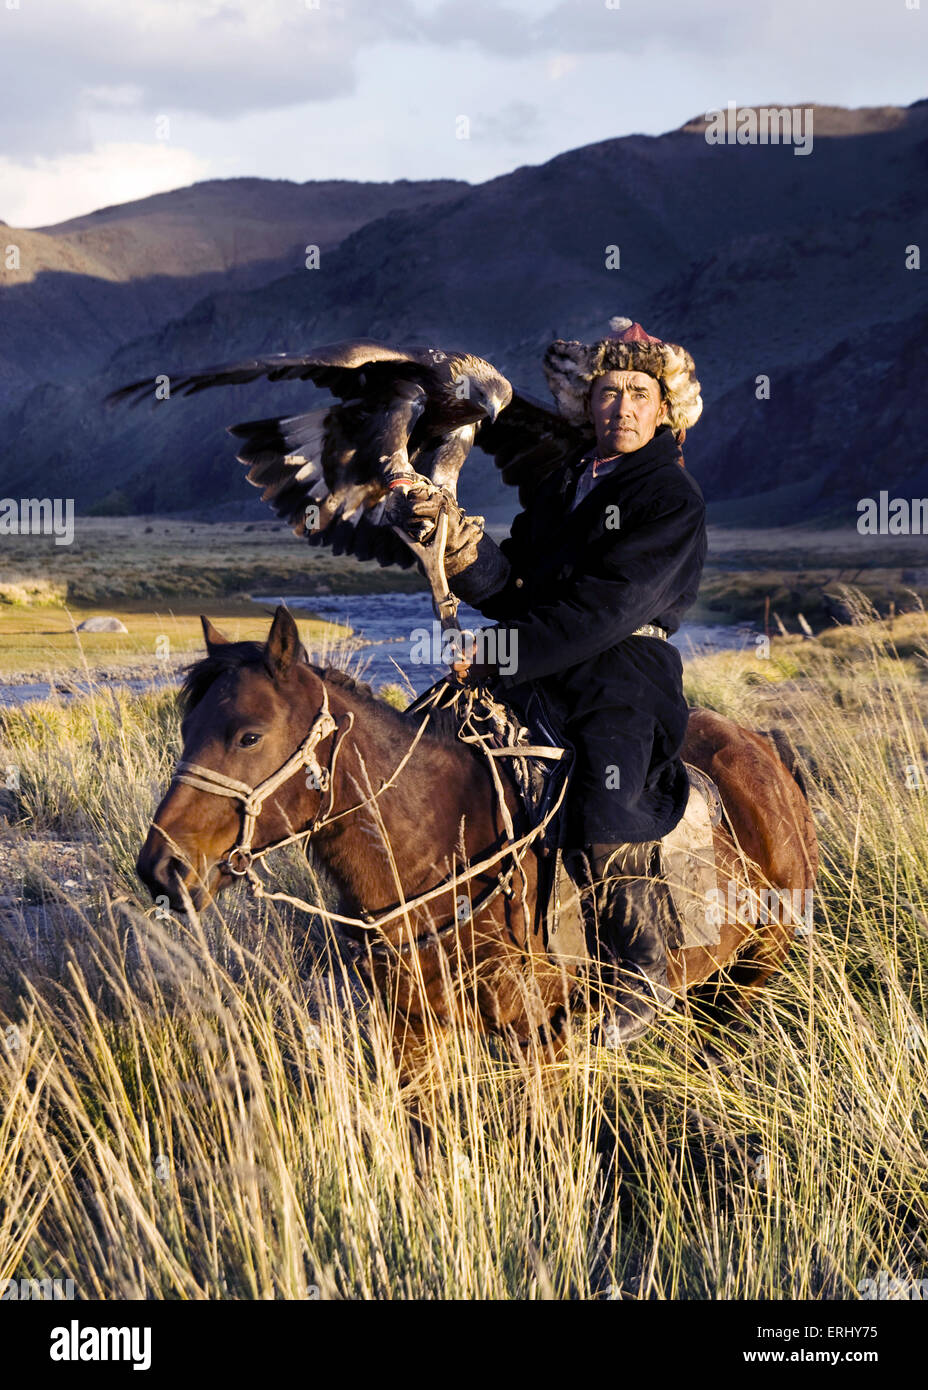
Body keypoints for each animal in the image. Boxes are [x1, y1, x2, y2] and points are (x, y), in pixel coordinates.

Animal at [134, 606, 816, 1050]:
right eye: (187, 729)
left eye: (249, 736)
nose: (162, 868)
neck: (440, 853)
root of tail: (765, 748)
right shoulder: (413, 1034)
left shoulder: (543, 1042)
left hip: (757, 969)